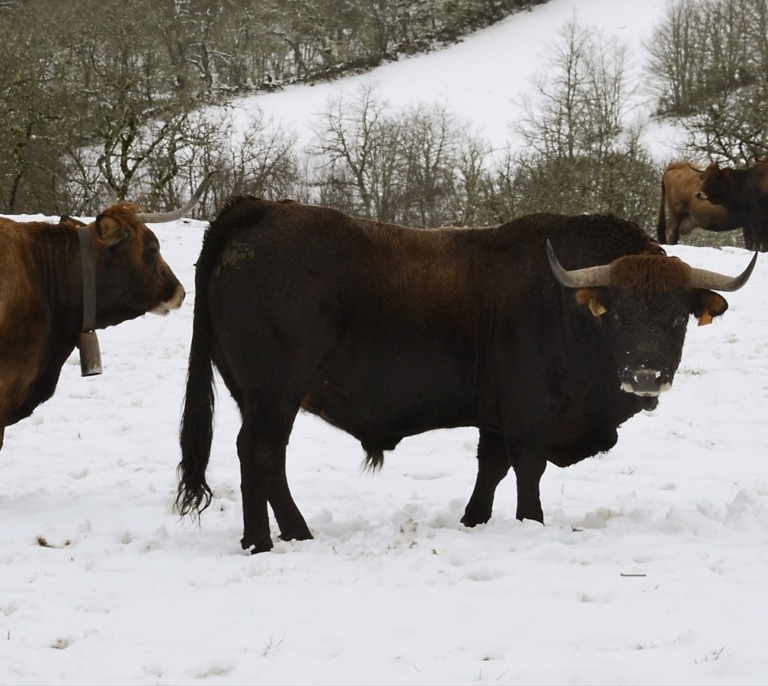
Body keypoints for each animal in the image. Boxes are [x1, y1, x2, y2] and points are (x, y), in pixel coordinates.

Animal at [176, 197, 756, 554]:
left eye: (677, 317)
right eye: (616, 314)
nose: (644, 375)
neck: (563, 305)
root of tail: (256, 208)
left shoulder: (495, 416)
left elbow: (491, 469)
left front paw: (473, 521)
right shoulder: (530, 414)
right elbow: (526, 470)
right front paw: (531, 523)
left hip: (264, 396)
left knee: (269, 458)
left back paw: (295, 533)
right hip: (274, 392)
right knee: (259, 453)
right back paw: (262, 540)